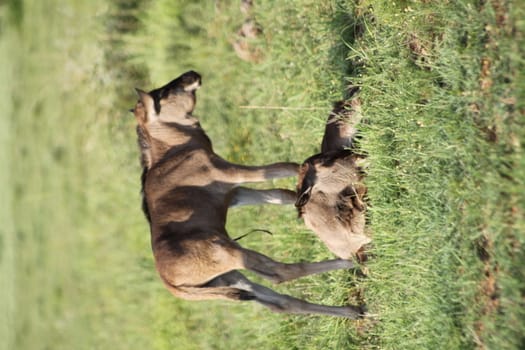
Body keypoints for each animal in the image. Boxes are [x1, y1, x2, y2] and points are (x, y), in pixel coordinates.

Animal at [129, 70, 362, 318]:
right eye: (164, 93)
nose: (192, 74)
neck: (171, 151)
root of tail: (170, 284)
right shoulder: (231, 173)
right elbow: (287, 168)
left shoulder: (235, 194)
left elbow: (282, 193)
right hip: (231, 253)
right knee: (280, 272)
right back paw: (350, 262)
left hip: (228, 278)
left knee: (281, 302)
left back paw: (354, 310)